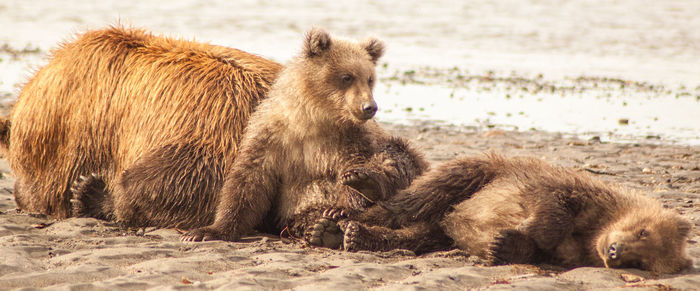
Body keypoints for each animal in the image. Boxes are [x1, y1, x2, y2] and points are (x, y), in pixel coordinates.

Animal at [178, 28, 426, 242]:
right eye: (347, 76)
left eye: (370, 78)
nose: (369, 107)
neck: (316, 119)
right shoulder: (272, 137)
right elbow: (247, 182)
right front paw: (207, 230)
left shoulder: (351, 139)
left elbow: (358, 165)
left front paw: (341, 205)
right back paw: (322, 230)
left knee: (398, 157)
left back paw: (364, 186)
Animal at [308, 154, 692, 274]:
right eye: (643, 231)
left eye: (642, 261)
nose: (614, 252)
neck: (595, 229)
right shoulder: (564, 188)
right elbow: (552, 208)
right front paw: (523, 229)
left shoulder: (570, 250)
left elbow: (532, 247)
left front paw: (502, 244)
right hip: (483, 172)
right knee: (421, 196)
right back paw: (356, 194)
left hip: (439, 227)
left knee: (421, 232)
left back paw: (348, 233)